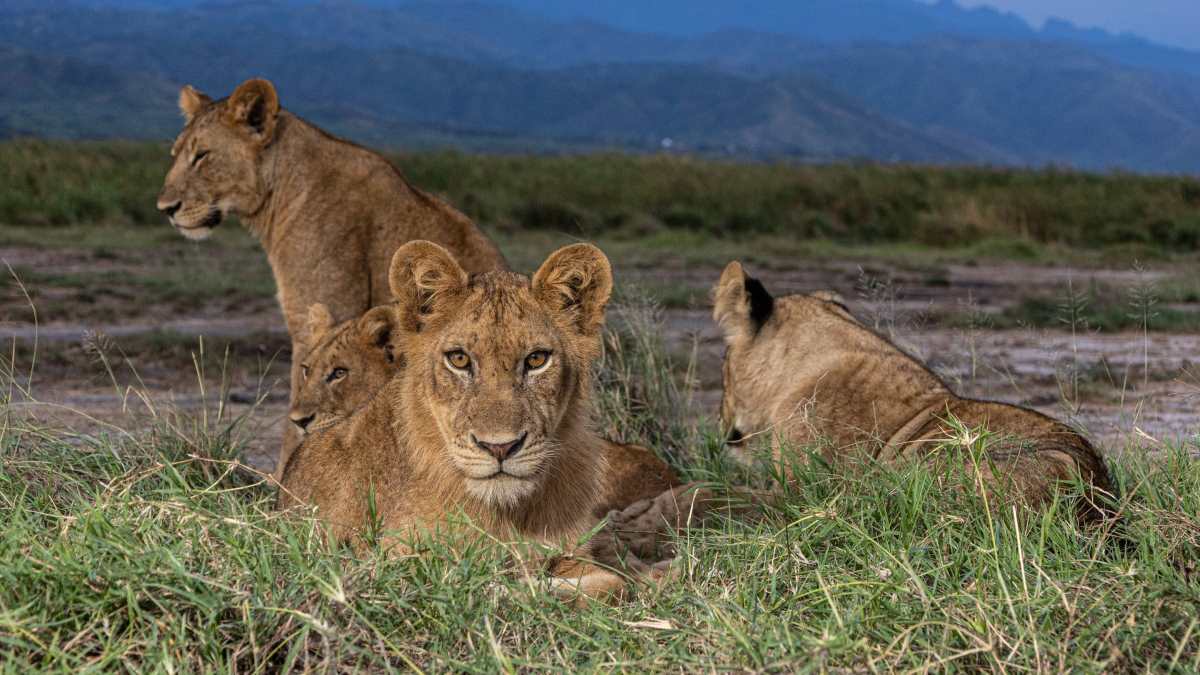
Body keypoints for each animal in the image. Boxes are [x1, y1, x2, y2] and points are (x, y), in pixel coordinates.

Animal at [154, 78, 506, 473]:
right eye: (175, 154)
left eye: (202, 155)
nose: (165, 208)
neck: (281, 192)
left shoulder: (323, 313)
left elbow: (300, 411)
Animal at [279, 239, 648, 595]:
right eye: (458, 359)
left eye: (537, 359)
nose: (500, 447)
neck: (507, 514)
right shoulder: (390, 561)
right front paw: (509, 585)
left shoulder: (574, 552)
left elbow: (613, 584)